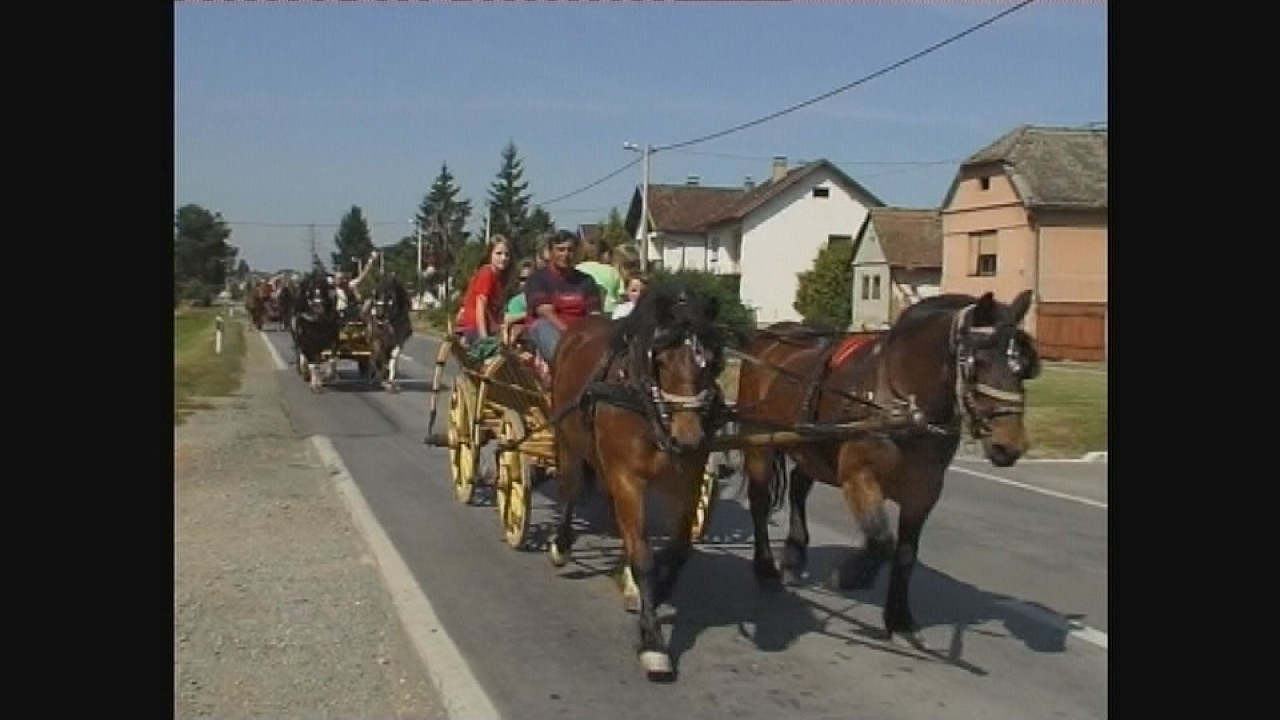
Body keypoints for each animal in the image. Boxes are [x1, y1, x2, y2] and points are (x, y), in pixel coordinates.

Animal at [547, 280, 731, 680]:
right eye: (660, 361)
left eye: (711, 362)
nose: (689, 437)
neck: (646, 403)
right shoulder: (627, 478)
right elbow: (644, 556)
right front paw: (653, 642)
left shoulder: (687, 480)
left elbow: (677, 550)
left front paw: (656, 592)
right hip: (568, 440)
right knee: (569, 488)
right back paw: (562, 544)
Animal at [735, 290, 1041, 650]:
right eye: (978, 362)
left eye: (1023, 367)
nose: (1010, 445)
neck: (903, 400)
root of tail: (768, 335)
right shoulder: (859, 476)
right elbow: (881, 540)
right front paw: (851, 575)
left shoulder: (924, 491)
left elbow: (905, 553)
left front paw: (900, 620)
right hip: (758, 441)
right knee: (759, 502)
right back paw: (766, 568)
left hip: (809, 445)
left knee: (798, 486)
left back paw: (795, 555)